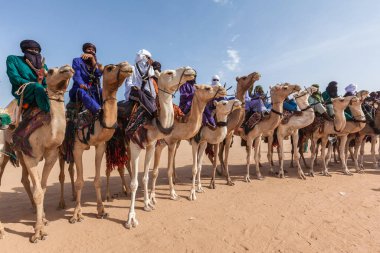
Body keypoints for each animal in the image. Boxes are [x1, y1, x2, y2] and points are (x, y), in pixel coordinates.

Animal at [7, 65, 74, 243]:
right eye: (50, 71)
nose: (68, 69)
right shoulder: (30, 156)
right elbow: (38, 192)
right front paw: (38, 232)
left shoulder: (52, 155)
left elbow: (42, 188)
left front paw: (43, 220)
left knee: (26, 180)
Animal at [68, 62, 134, 224]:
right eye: (110, 68)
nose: (127, 66)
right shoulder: (77, 148)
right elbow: (80, 181)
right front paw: (76, 214)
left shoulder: (101, 146)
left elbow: (98, 180)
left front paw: (101, 210)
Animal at [124, 66, 196, 228]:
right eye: (169, 73)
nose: (190, 70)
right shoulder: (135, 145)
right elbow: (134, 183)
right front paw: (131, 218)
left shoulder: (151, 146)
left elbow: (145, 177)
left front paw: (147, 204)